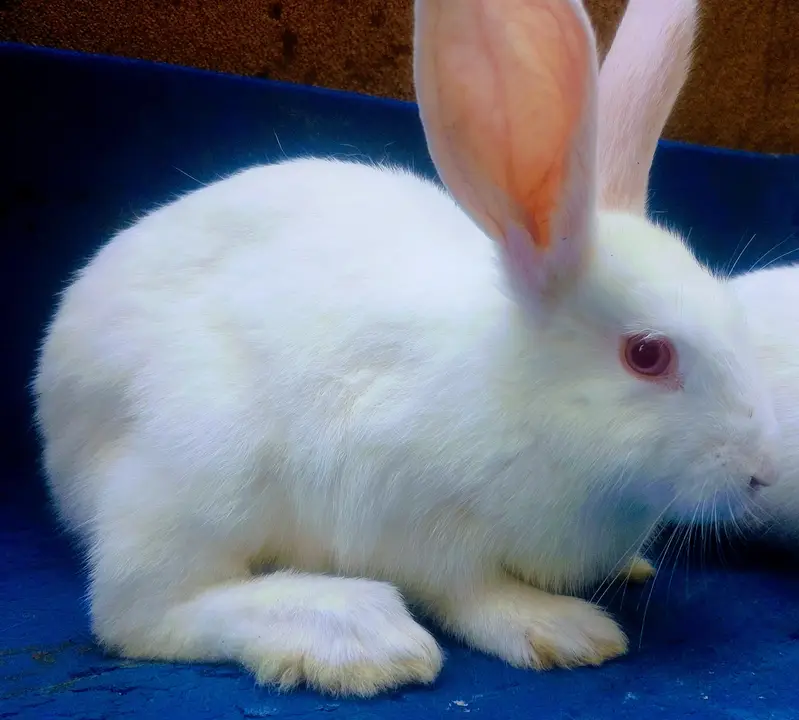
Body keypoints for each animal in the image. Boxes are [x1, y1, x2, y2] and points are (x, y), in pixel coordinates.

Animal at [32, 0, 780, 698]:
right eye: (647, 355)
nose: (764, 473)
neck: (519, 400)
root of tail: (55, 397)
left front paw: (628, 567)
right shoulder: (414, 516)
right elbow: (472, 593)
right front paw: (561, 629)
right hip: (199, 459)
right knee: (141, 611)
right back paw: (356, 636)